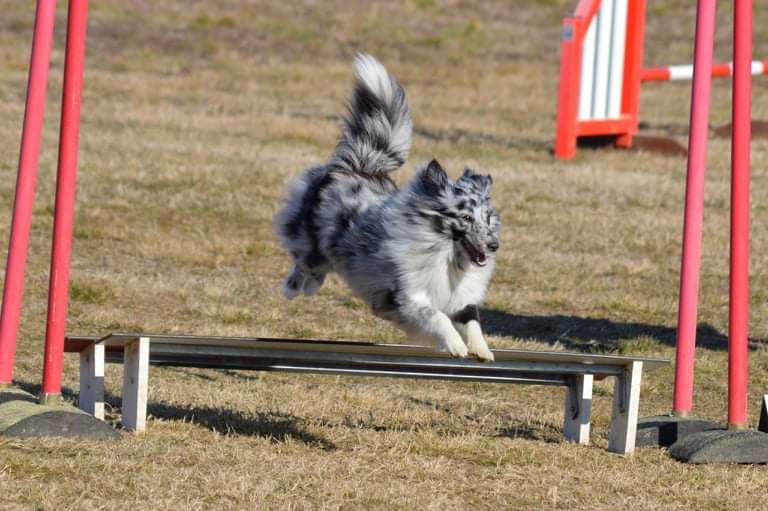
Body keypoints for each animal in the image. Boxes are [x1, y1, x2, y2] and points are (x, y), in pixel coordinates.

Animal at [272, 54, 500, 362]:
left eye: (488, 219)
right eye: (465, 217)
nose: (493, 245)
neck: (447, 258)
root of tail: (359, 165)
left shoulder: (461, 297)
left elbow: (472, 320)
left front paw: (482, 350)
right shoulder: (407, 295)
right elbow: (437, 316)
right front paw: (456, 345)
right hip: (311, 243)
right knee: (305, 261)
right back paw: (295, 287)